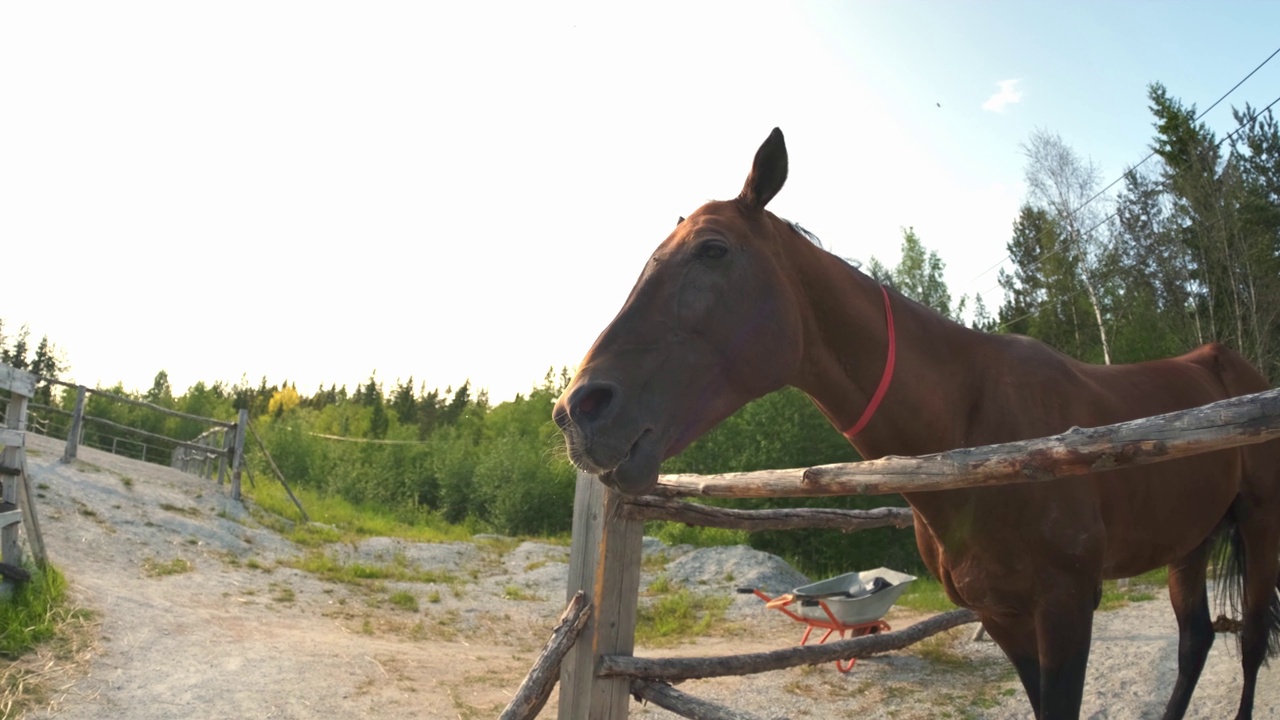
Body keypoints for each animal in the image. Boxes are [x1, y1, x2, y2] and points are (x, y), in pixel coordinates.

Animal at [555, 128, 1280, 717]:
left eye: (712, 250)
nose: (576, 411)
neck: (973, 436)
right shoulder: (1004, 615)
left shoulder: (1068, 606)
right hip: (1188, 541)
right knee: (1195, 640)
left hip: (1258, 526)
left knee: (1247, 643)